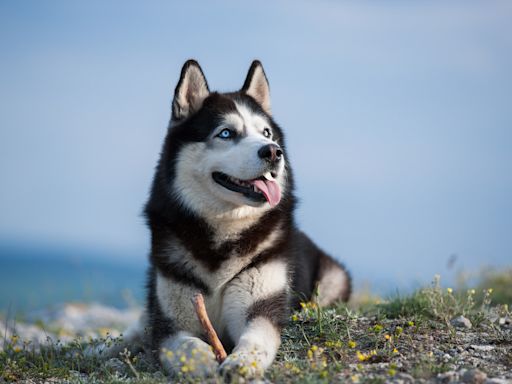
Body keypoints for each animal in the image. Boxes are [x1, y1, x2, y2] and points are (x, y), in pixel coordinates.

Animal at [114, 60, 350, 378]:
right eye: (226, 133)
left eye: (266, 133)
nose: (273, 151)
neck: (223, 234)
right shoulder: (171, 323)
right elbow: (184, 344)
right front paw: (204, 362)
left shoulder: (259, 306)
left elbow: (256, 338)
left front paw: (242, 362)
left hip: (332, 279)